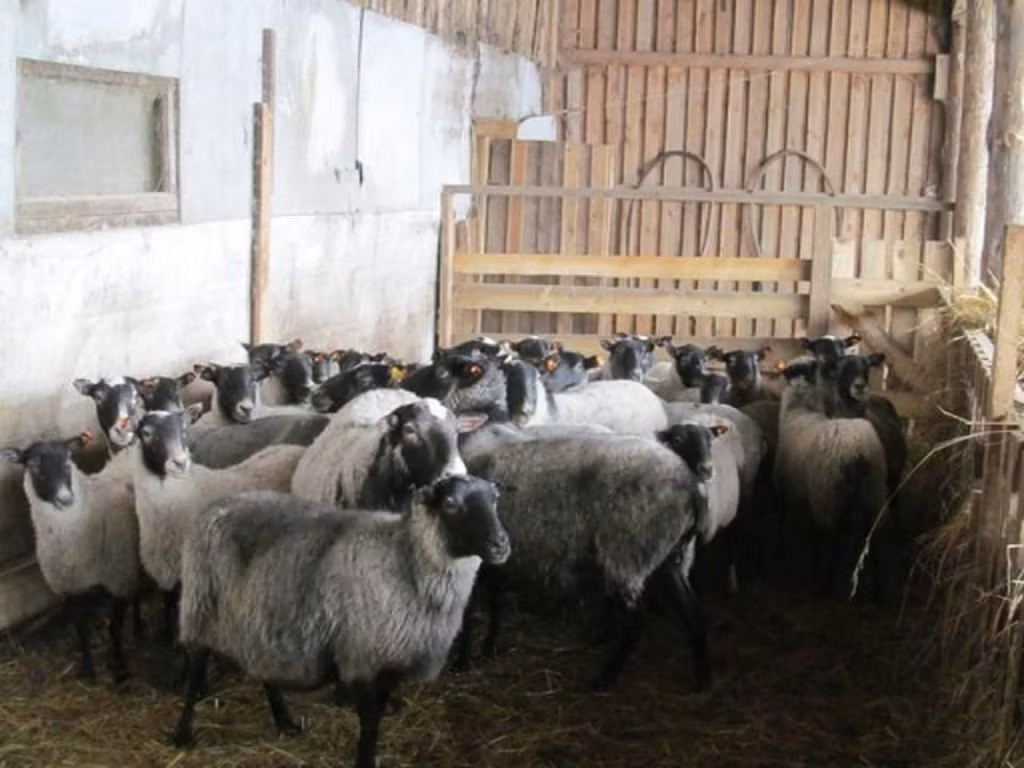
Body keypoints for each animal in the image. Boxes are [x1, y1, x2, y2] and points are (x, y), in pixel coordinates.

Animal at [1, 433, 141, 682]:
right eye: (33, 464)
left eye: (69, 460)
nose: (65, 499)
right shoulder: (71, 587)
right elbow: (81, 631)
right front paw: (88, 672)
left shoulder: (118, 579)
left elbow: (114, 629)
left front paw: (121, 670)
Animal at [170, 474, 511, 768]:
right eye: (451, 503)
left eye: (495, 499)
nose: (501, 544)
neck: (404, 559)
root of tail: (217, 504)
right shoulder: (363, 656)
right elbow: (369, 721)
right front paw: (364, 761)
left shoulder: (387, 659)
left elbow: (378, 716)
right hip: (201, 606)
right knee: (196, 669)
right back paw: (183, 735)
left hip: (260, 617)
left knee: (265, 670)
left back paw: (285, 723)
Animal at [458, 433, 710, 691]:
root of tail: (691, 486)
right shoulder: (493, 563)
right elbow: (494, 603)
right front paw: (488, 648)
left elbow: (468, 610)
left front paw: (463, 661)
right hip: (668, 557)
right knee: (694, 613)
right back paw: (702, 678)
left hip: (627, 553)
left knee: (634, 625)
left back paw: (604, 679)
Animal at [772, 373, 892, 599]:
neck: (799, 411)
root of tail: (858, 449)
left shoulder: (791, 493)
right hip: (874, 491)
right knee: (877, 536)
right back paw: (879, 589)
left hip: (826, 493)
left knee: (829, 538)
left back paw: (823, 585)